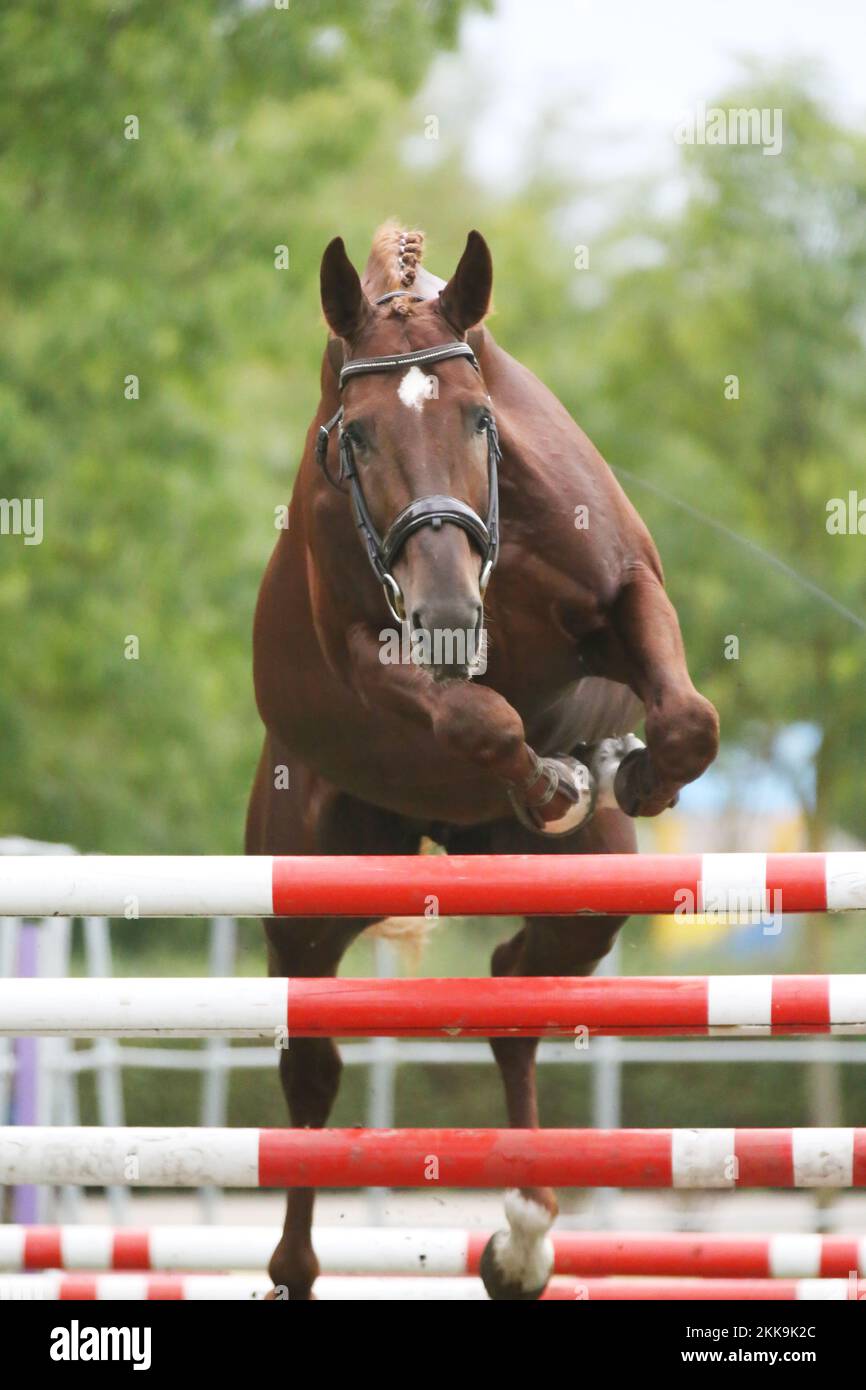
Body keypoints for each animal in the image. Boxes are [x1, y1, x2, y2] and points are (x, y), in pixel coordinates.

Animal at [246, 222, 719, 1300]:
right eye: (356, 436)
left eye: (478, 419)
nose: (450, 614)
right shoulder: (374, 657)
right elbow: (482, 720)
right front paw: (552, 778)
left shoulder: (627, 588)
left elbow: (687, 719)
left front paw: (630, 770)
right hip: (311, 891)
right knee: (312, 1068)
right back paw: (301, 1264)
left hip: (589, 891)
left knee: (514, 988)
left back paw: (523, 1238)